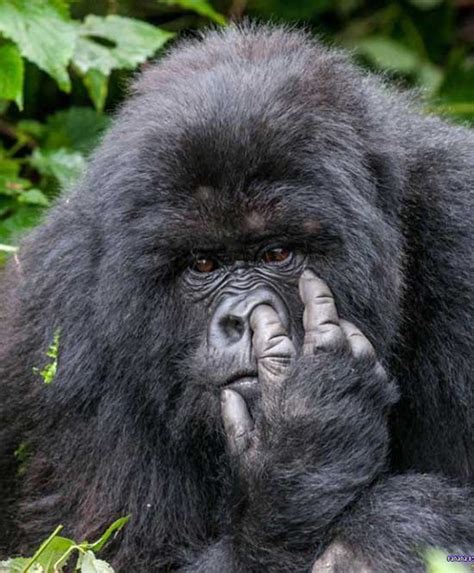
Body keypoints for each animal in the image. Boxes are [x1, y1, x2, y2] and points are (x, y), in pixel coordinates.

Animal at [0, 23, 474, 572]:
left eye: (277, 252)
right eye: (204, 264)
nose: (244, 319)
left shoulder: (461, 230)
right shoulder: (62, 323)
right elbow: (96, 553)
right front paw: (304, 444)